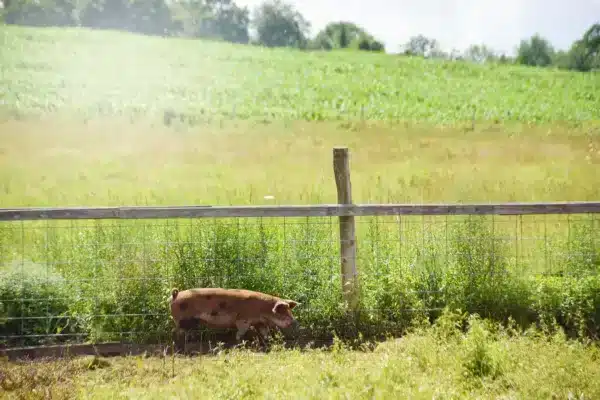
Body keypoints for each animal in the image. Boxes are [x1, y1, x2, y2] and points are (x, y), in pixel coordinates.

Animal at [168, 286, 300, 346]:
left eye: (290, 311)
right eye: (284, 313)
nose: (294, 321)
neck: (264, 309)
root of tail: (175, 295)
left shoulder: (260, 322)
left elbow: (264, 333)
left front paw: (268, 343)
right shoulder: (243, 319)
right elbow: (240, 332)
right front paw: (238, 342)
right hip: (182, 320)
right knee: (176, 331)